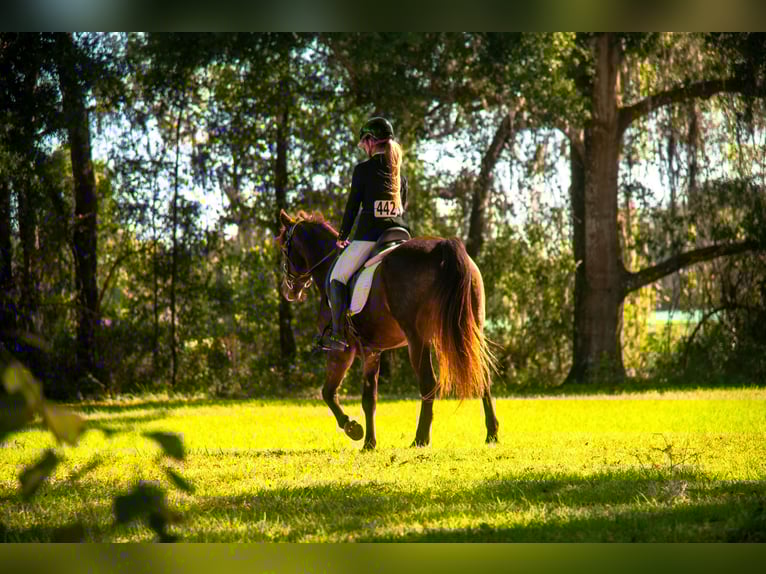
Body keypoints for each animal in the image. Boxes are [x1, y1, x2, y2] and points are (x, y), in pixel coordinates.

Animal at [277, 209, 499, 450]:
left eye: (285, 249)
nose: (288, 291)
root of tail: (442, 246)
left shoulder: (341, 352)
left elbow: (329, 393)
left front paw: (354, 429)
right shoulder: (372, 350)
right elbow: (369, 399)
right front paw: (369, 442)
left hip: (417, 340)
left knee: (428, 382)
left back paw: (420, 438)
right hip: (470, 330)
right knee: (482, 375)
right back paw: (492, 433)